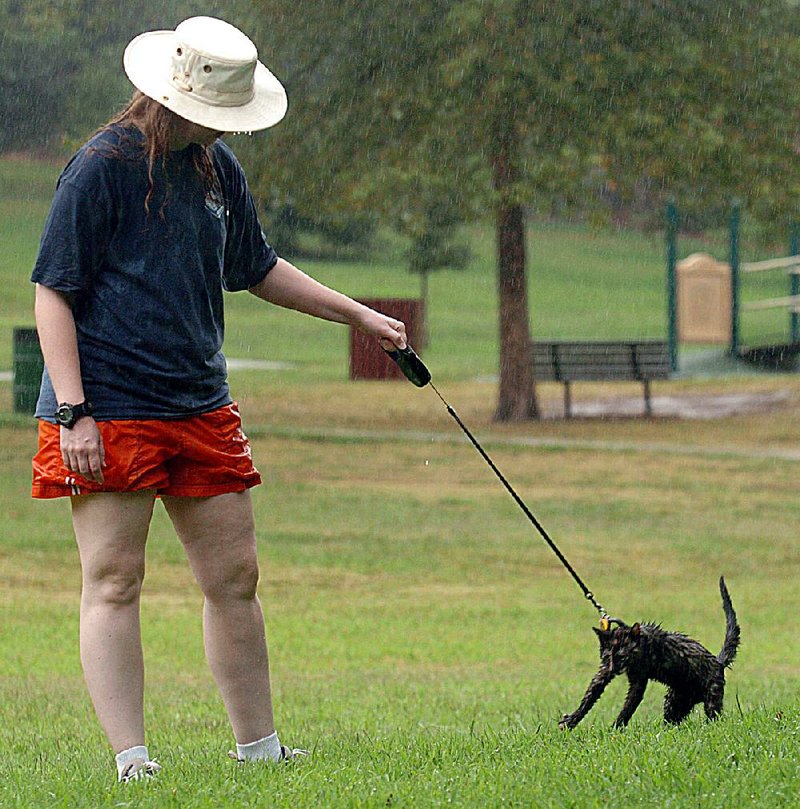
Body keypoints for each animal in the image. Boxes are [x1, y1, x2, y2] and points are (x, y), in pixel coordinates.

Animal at [560, 576, 740, 728]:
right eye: (606, 657)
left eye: (622, 656)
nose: (613, 669)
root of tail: (718, 661)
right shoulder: (603, 673)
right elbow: (589, 697)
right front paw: (571, 720)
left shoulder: (639, 680)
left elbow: (628, 706)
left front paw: (615, 729)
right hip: (674, 702)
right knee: (672, 720)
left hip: (711, 699)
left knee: (714, 718)